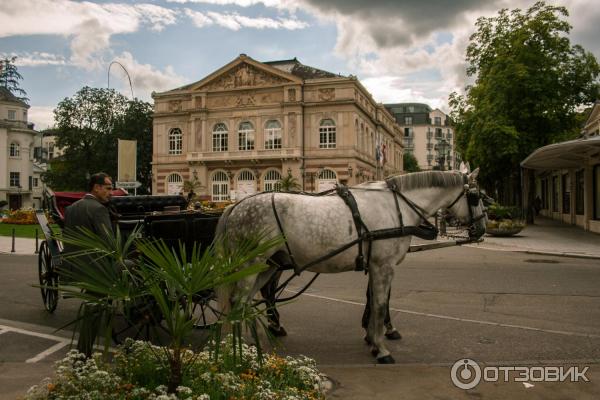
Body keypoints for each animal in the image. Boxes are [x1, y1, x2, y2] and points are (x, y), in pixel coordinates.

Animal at [216, 164, 488, 364]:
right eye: (475, 197)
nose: (482, 229)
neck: (397, 206)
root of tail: (235, 206)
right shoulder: (383, 266)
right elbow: (380, 304)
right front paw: (381, 347)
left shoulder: (377, 266)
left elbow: (374, 301)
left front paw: (372, 339)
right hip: (252, 264)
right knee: (240, 301)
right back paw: (242, 346)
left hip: (266, 266)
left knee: (247, 301)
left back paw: (253, 342)